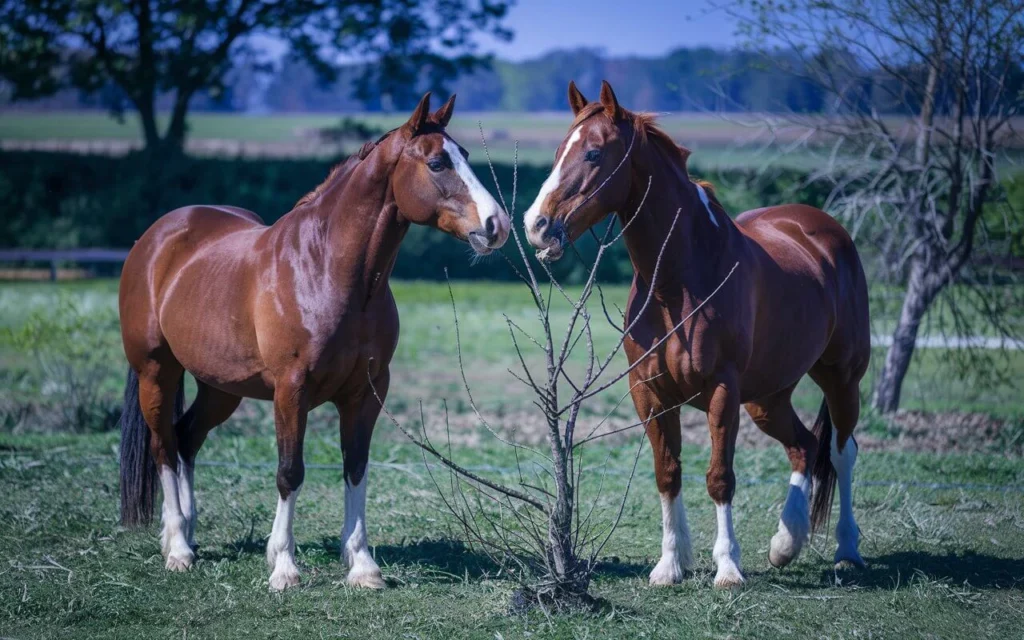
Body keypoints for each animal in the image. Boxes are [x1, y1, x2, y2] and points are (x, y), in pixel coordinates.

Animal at [117, 93, 509, 589]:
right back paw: (178, 548)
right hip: (157, 372)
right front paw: (283, 566)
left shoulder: (367, 392)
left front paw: (362, 565)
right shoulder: (292, 389)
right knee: (164, 448)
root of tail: (156, 238)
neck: (326, 270)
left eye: (467, 157)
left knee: (186, 439)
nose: (497, 224)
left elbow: (356, 467)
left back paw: (187, 532)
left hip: (220, 388)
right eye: (437, 162)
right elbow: (290, 472)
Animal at [524, 80, 868, 589]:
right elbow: (668, 472)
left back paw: (846, 549)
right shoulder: (649, 391)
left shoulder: (723, 390)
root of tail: (823, 229)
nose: (536, 225)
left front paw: (727, 567)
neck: (677, 281)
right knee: (804, 447)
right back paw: (786, 543)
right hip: (768, 397)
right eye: (557, 151)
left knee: (843, 452)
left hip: (841, 377)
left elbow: (720, 477)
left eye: (593, 153)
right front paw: (671, 564)